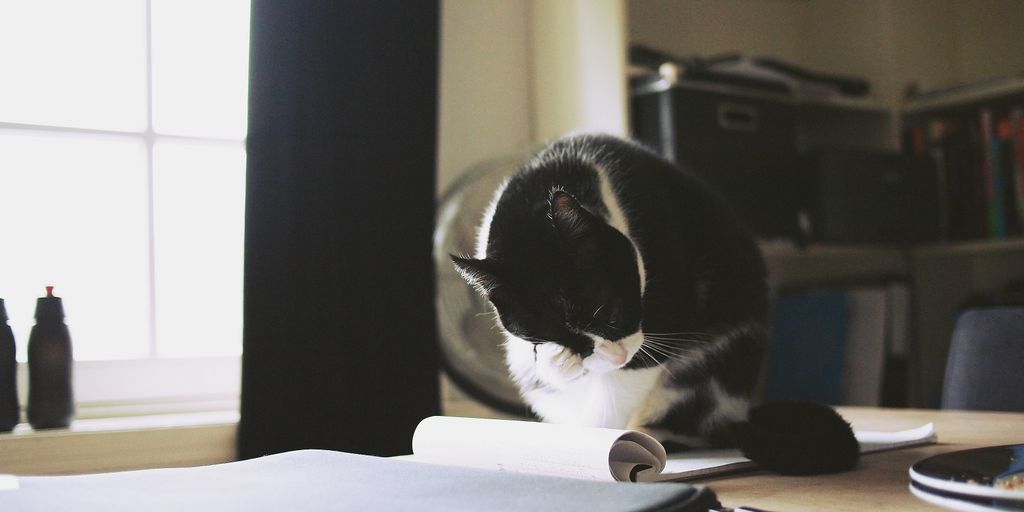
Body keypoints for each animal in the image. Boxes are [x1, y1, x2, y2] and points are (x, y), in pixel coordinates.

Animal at [452, 134, 860, 473]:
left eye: (612, 311)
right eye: (549, 336)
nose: (615, 358)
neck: (557, 170)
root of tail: (741, 412)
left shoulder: (668, 296)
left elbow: (622, 388)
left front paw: (599, 449)